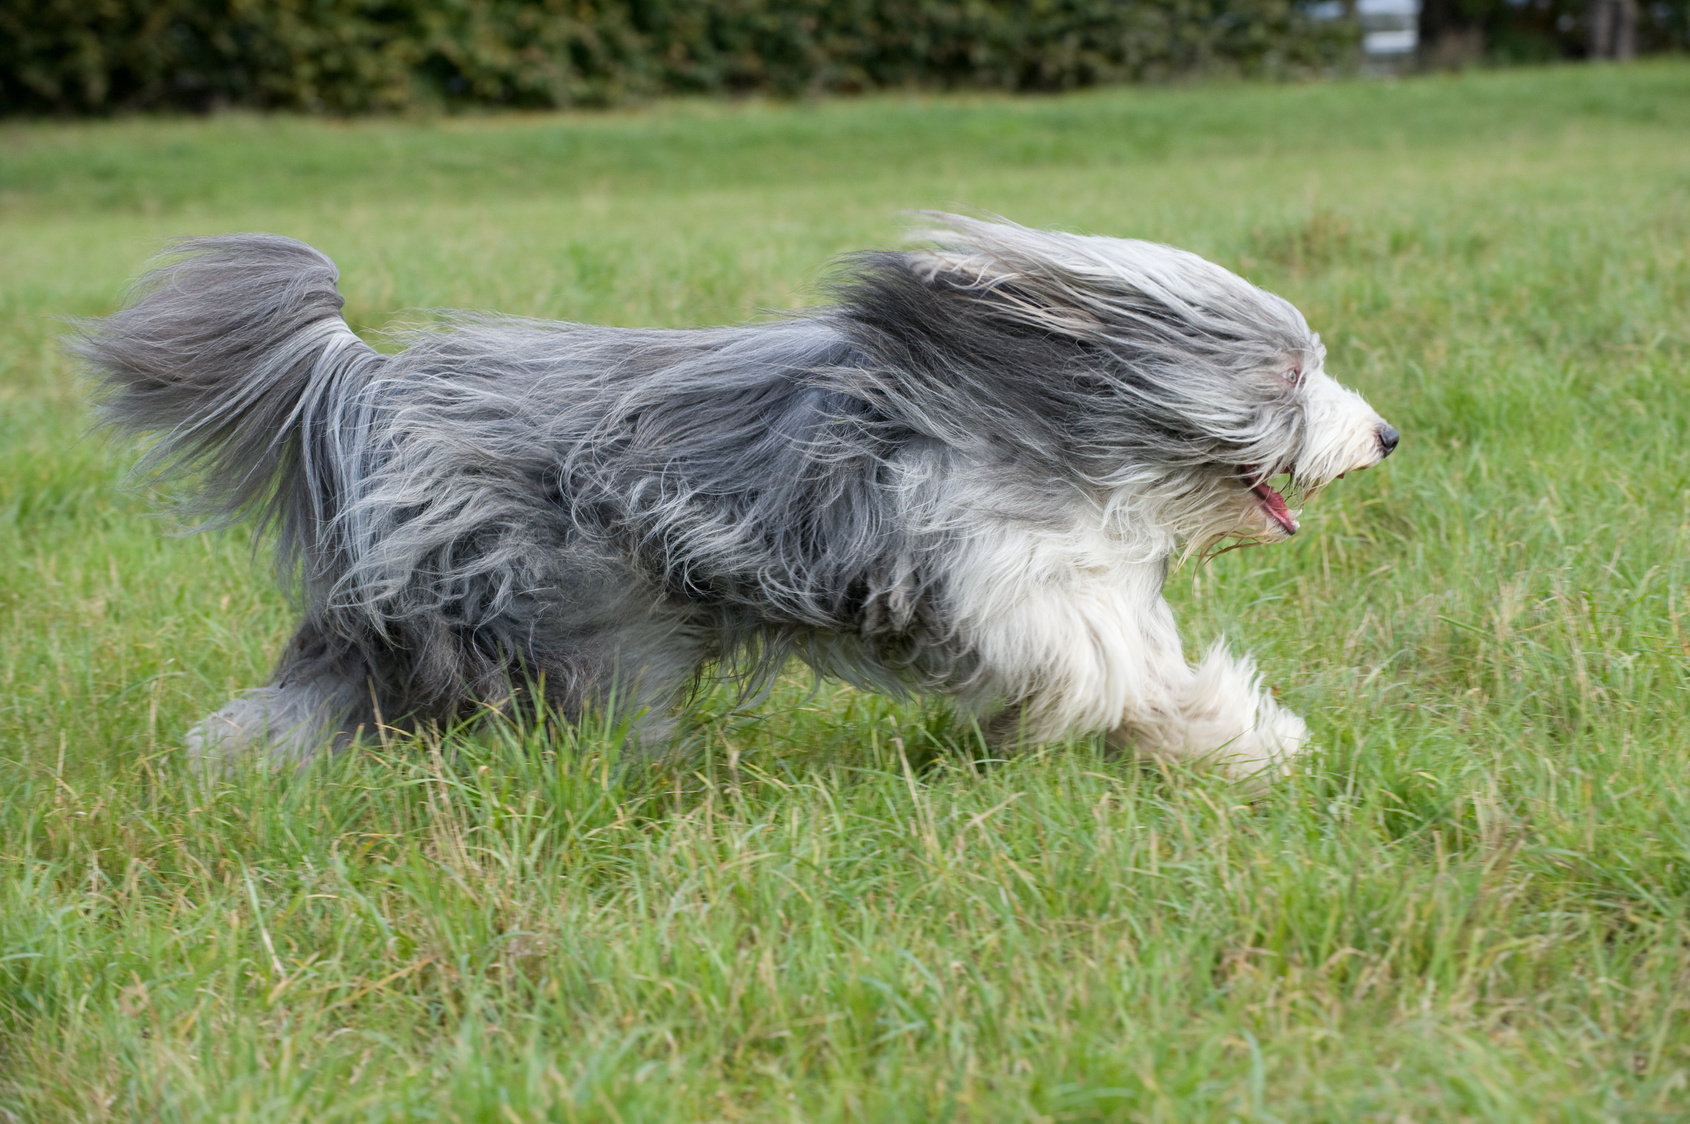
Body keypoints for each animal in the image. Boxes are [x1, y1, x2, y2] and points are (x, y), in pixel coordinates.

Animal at [79, 216, 1392, 780]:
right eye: (1290, 371)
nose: (1383, 435)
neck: (1028, 418)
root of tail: (377, 381)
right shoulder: (1013, 574)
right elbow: (1122, 670)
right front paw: (1249, 736)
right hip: (573, 604)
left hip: (426, 612)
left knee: (310, 693)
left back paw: (241, 771)